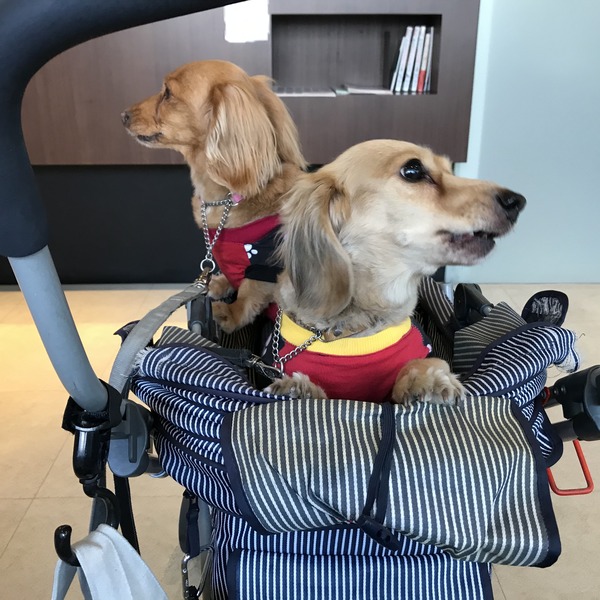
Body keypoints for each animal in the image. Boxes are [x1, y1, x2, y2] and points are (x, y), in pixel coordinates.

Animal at [121, 60, 306, 332]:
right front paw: (218, 283)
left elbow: (249, 293)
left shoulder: (265, 262)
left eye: (168, 93)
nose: (123, 115)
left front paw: (230, 313)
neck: (227, 198)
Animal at [267, 139, 526, 404]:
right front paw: (299, 388)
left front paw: (427, 380)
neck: (353, 328)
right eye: (412, 170)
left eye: (450, 170)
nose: (517, 201)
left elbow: (426, 363)